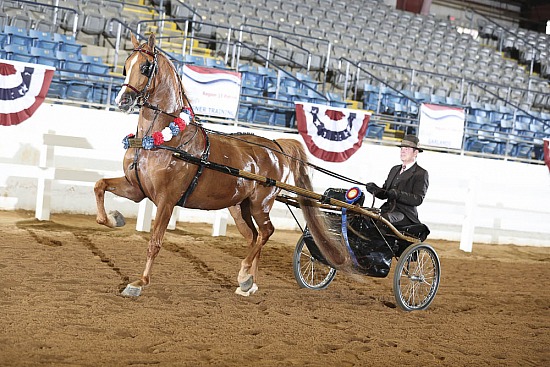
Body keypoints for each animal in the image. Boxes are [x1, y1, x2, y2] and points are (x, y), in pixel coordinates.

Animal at [92, 33, 348, 300]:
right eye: (125, 66)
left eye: (145, 67)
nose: (122, 100)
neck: (162, 139)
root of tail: (275, 145)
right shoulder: (137, 189)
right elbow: (99, 186)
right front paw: (115, 218)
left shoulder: (166, 199)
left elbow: (155, 241)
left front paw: (139, 283)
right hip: (239, 207)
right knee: (254, 236)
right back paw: (249, 283)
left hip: (260, 204)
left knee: (266, 232)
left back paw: (245, 276)